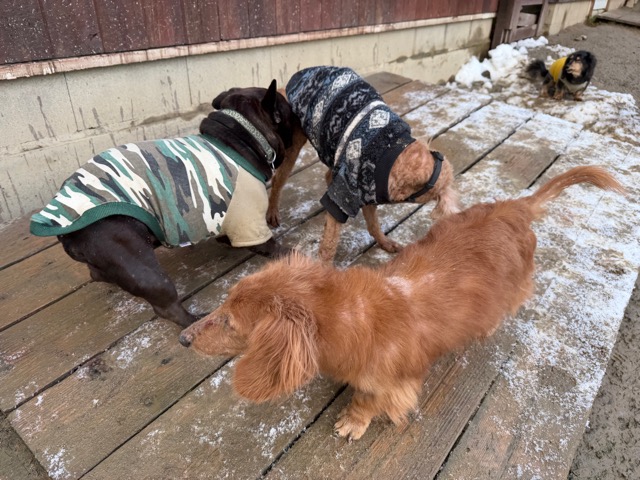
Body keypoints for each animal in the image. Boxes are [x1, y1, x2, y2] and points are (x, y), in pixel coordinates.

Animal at [30, 80, 304, 328]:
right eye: (289, 112)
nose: (299, 117)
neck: (243, 137)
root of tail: (65, 229)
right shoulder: (249, 222)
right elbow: (274, 247)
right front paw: (294, 255)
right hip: (139, 263)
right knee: (166, 307)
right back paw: (194, 320)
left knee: (96, 273)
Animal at [178, 166, 624, 440]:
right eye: (223, 303)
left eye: (230, 322)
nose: (182, 339)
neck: (352, 315)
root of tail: (513, 207)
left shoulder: (395, 384)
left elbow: (368, 400)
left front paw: (352, 422)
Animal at [283, 66, 460, 262]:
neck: (395, 156)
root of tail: (301, 73)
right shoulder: (344, 194)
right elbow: (328, 245)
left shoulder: (365, 192)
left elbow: (373, 224)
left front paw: (385, 243)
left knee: (328, 174)